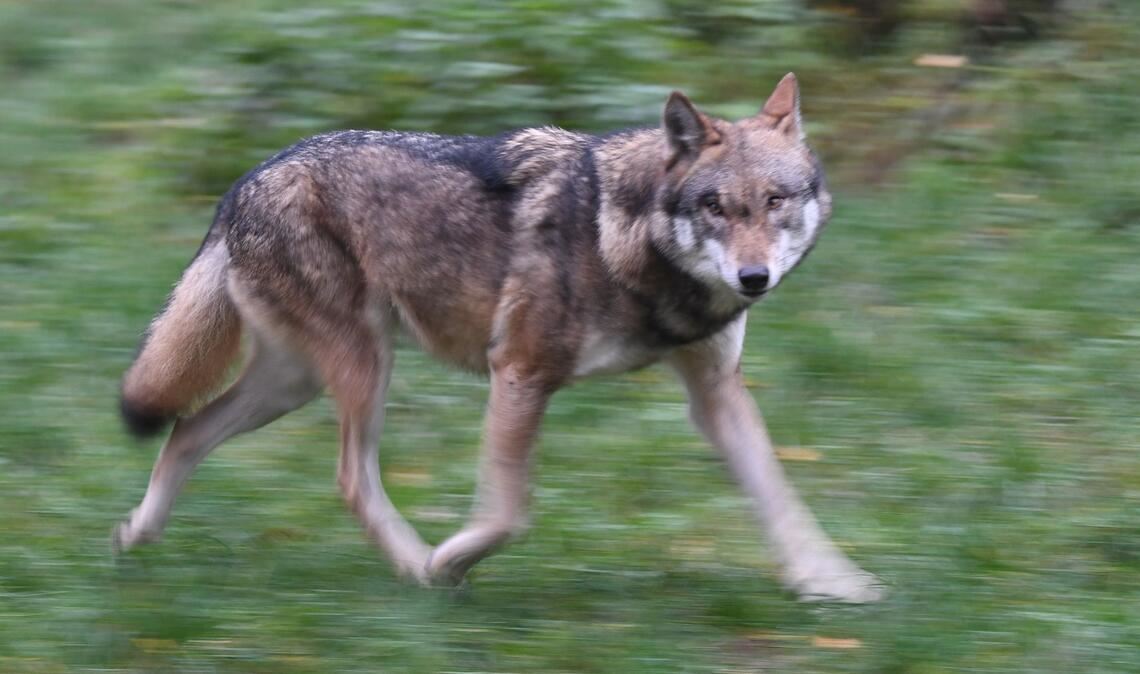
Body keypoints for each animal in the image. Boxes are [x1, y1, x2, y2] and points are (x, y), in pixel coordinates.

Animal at [115, 74, 882, 602]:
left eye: (775, 201)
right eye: (717, 207)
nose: (754, 277)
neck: (627, 241)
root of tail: (243, 182)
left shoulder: (716, 393)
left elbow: (780, 496)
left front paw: (833, 584)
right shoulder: (519, 371)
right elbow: (509, 513)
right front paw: (449, 559)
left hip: (295, 382)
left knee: (187, 429)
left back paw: (136, 536)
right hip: (361, 369)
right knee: (348, 479)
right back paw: (416, 568)